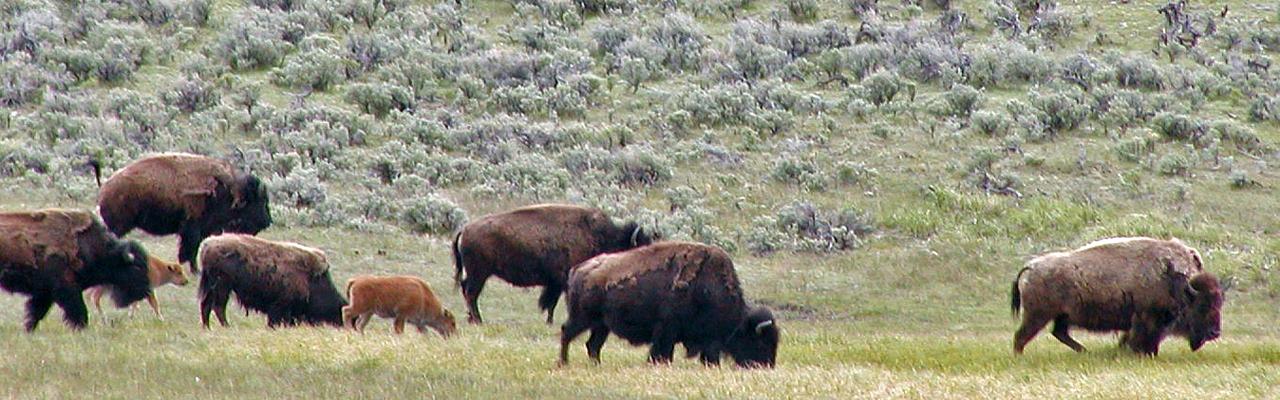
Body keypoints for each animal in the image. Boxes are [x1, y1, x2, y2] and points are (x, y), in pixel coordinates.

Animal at [0, 208, 152, 330]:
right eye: (137, 267)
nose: (146, 291)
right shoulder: (67, 289)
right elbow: (79, 311)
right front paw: (80, 328)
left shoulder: (44, 294)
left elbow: (35, 313)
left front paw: (29, 329)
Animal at [96, 151, 273, 270]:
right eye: (259, 200)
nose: (267, 221)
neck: (228, 190)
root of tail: (105, 186)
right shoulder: (193, 228)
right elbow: (191, 249)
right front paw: (195, 270)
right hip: (118, 226)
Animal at [560, 241, 778, 369]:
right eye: (761, 342)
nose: (767, 365)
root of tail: (578, 269)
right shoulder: (668, 330)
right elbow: (662, 352)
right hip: (583, 318)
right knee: (567, 332)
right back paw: (563, 363)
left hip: (602, 326)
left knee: (592, 345)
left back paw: (596, 365)